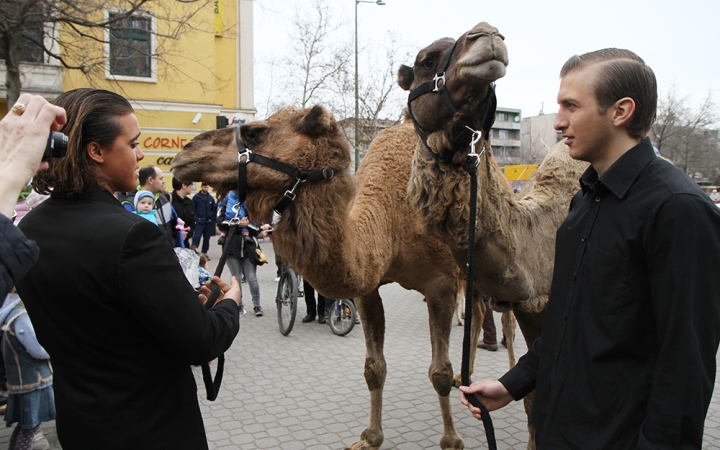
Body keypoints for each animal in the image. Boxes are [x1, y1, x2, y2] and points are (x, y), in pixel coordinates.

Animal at [173, 106, 490, 450]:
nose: (185, 154)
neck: (393, 220)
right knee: (479, 312)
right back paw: (467, 376)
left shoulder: (440, 283)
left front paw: (452, 440)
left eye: (254, 132)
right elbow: (374, 367)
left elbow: (439, 372)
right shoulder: (368, 287)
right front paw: (370, 438)